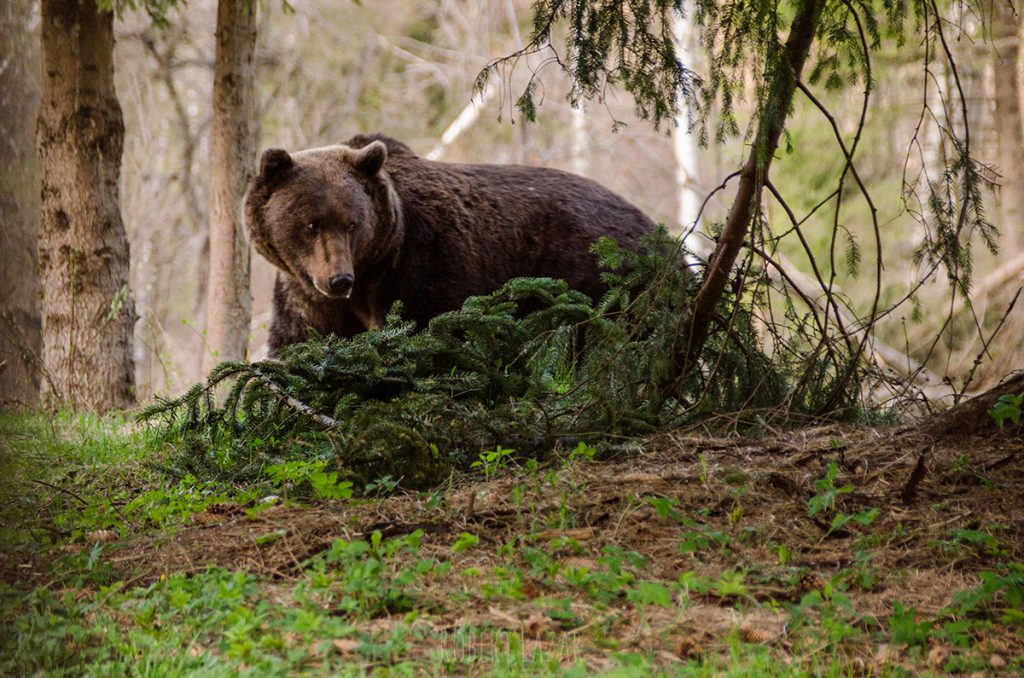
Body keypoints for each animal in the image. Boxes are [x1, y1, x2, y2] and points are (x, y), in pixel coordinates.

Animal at [249, 133, 655, 356]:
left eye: (352, 223)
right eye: (311, 224)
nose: (339, 280)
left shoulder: (425, 264)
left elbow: (433, 329)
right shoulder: (306, 295)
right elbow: (297, 341)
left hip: (595, 276)